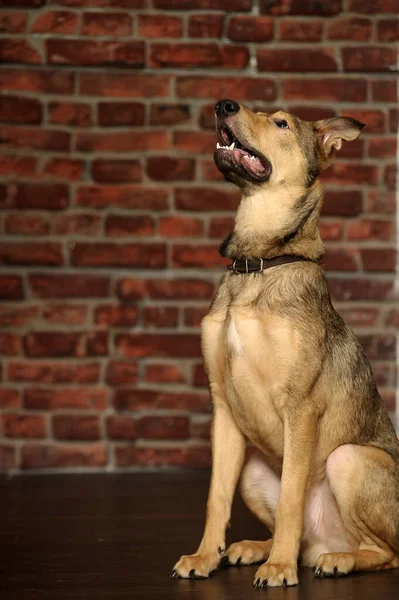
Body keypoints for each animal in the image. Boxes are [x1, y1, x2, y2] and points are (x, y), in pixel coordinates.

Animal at [170, 102, 399, 584]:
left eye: (281, 123)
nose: (223, 104)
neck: (258, 263)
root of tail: (326, 541)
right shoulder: (223, 408)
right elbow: (215, 498)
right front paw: (205, 556)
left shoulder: (301, 407)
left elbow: (293, 495)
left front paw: (278, 568)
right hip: (253, 468)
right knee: (299, 536)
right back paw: (259, 548)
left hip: (350, 460)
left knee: (386, 552)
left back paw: (334, 559)